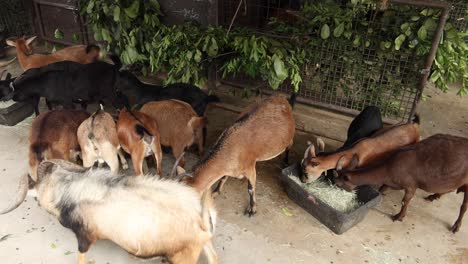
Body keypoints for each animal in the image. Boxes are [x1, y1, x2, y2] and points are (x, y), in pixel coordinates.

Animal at [0, 159, 218, 264]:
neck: (68, 189)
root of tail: (201, 215)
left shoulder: (84, 236)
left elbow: (81, 257)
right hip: (204, 245)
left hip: (183, 257)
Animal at [334, 134, 468, 233]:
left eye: (338, 184)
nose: (334, 186)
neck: (389, 168)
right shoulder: (389, 182)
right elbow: (382, 190)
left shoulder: (411, 185)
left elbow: (405, 201)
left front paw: (399, 217)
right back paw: (434, 196)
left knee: (464, 206)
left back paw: (456, 226)